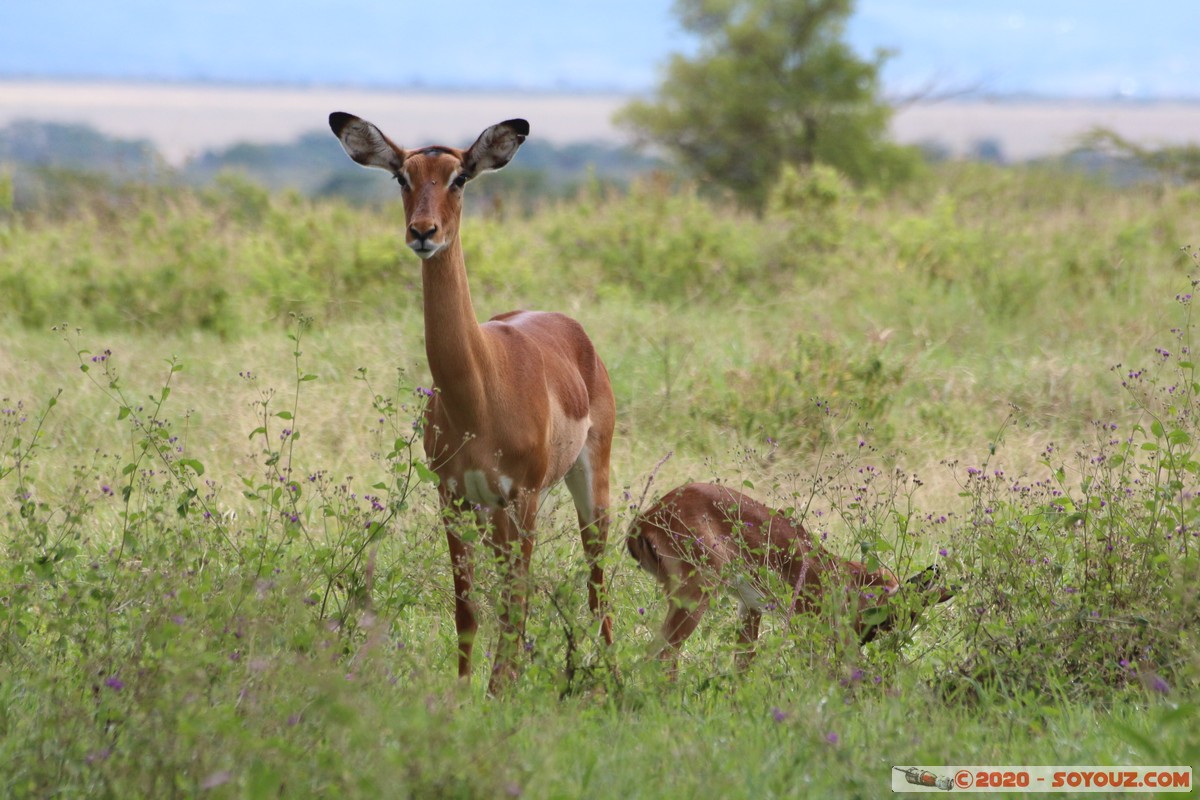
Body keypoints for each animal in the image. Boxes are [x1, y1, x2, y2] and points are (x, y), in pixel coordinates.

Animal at [329, 113, 615, 692]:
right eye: (402, 177)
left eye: (459, 177)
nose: (423, 232)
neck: (479, 394)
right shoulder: (453, 498)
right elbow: (467, 610)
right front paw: (465, 693)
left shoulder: (522, 496)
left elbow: (516, 601)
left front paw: (501, 691)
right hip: (492, 516)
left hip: (586, 482)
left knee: (596, 582)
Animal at [627, 482, 953, 674]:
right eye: (895, 617)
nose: (868, 638)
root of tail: (646, 520)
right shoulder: (823, 628)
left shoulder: (750, 606)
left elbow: (742, 665)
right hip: (696, 594)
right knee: (659, 656)